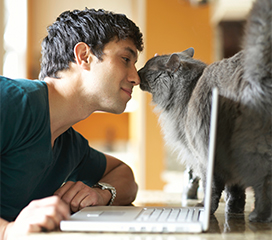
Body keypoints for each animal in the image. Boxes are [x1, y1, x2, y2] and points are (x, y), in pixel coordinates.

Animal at [139, 0, 270, 222]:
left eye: (148, 68)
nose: (137, 71)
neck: (187, 91)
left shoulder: (203, 154)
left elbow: (214, 187)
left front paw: (205, 208)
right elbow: (235, 190)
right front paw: (233, 211)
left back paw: (258, 216)